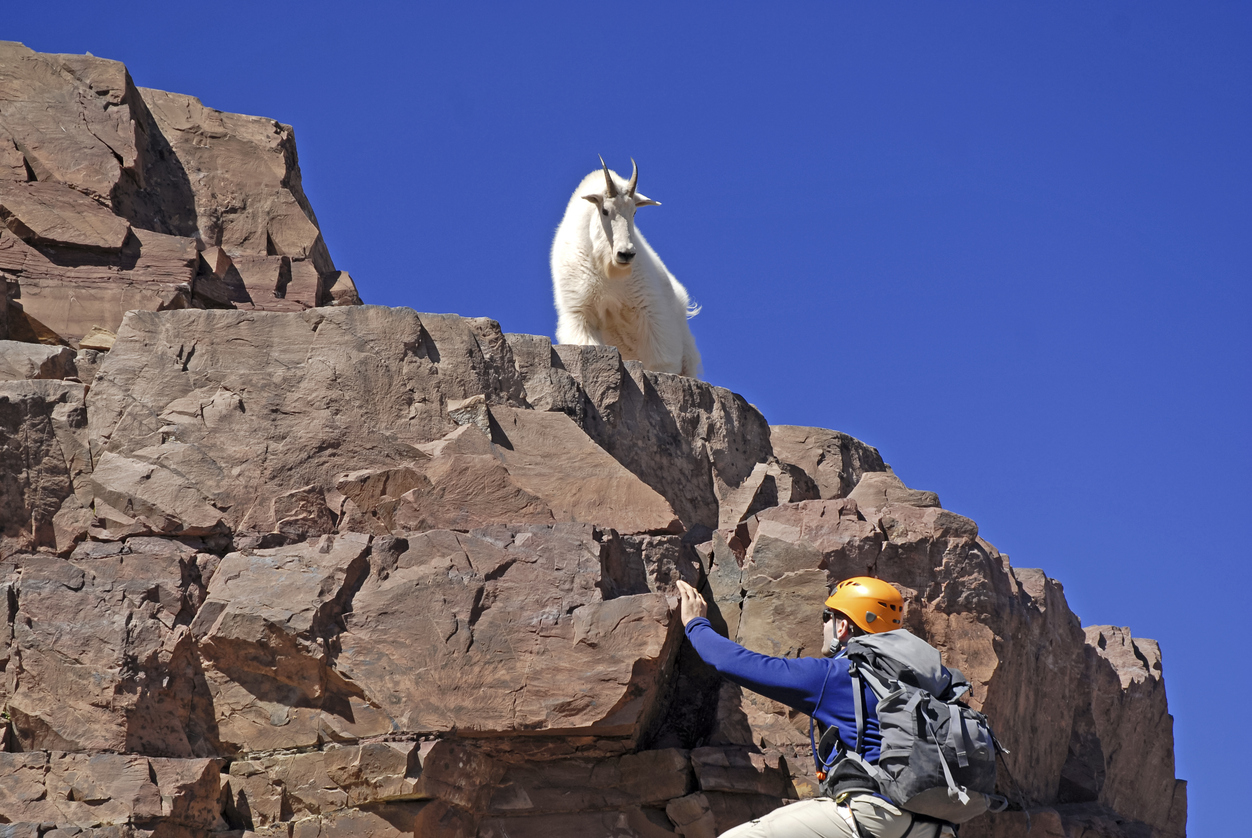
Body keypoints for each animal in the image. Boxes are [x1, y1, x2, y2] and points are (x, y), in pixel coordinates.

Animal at [550, 158, 702, 377]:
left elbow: (661, 360)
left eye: (635, 212)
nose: (626, 254)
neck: (608, 270)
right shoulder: (581, 313)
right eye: (605, 210)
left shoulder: (651, 311)